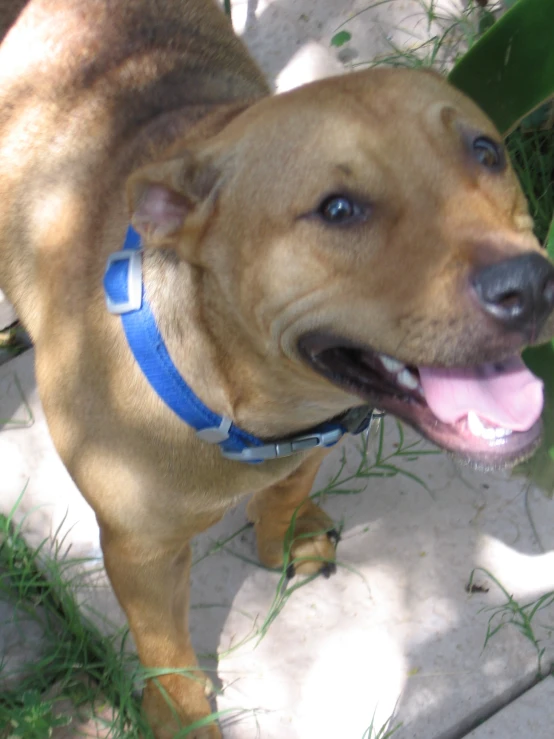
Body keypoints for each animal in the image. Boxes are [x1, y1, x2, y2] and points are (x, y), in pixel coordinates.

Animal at [1, 1, 552, 739]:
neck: (243, 396)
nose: (530, 285)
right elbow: (166, 652)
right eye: (337, 209)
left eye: (486, 151)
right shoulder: (139, 551)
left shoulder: (317, 432)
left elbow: (288, 488)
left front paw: (286, 532)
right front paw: (180, 718)